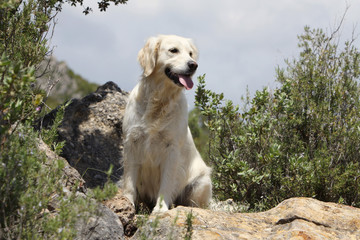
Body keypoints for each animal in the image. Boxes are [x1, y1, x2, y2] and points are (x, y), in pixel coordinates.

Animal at [122, 34, 212, 213]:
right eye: (173, 50)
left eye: (190, 53)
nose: (193, 65)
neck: (159, 100)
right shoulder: (132, 143)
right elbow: (129, 181)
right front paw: (127, 201)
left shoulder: (172, 149)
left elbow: (167, 182)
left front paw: (161, 208)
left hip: (201, 182)